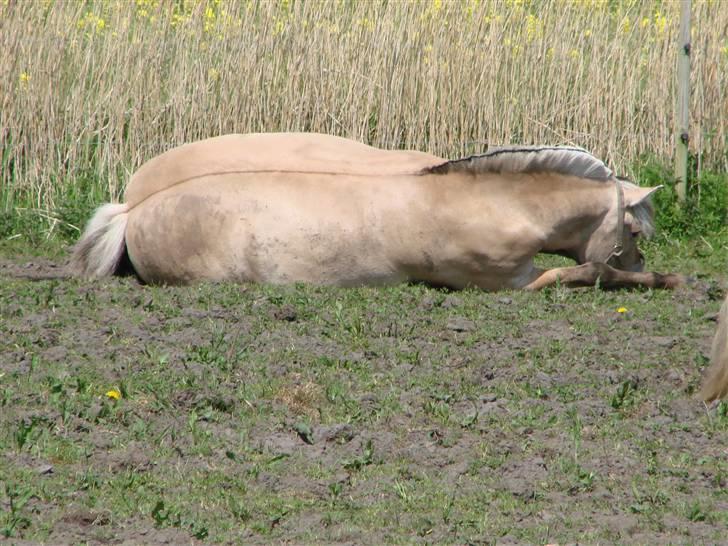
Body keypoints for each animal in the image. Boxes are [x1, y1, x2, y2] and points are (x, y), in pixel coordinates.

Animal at [71, 131, 684, 288]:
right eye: (633, 230)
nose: (639, 261)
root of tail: (134, 212)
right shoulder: (505, 283)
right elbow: (581, 272)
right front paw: (659, 279)